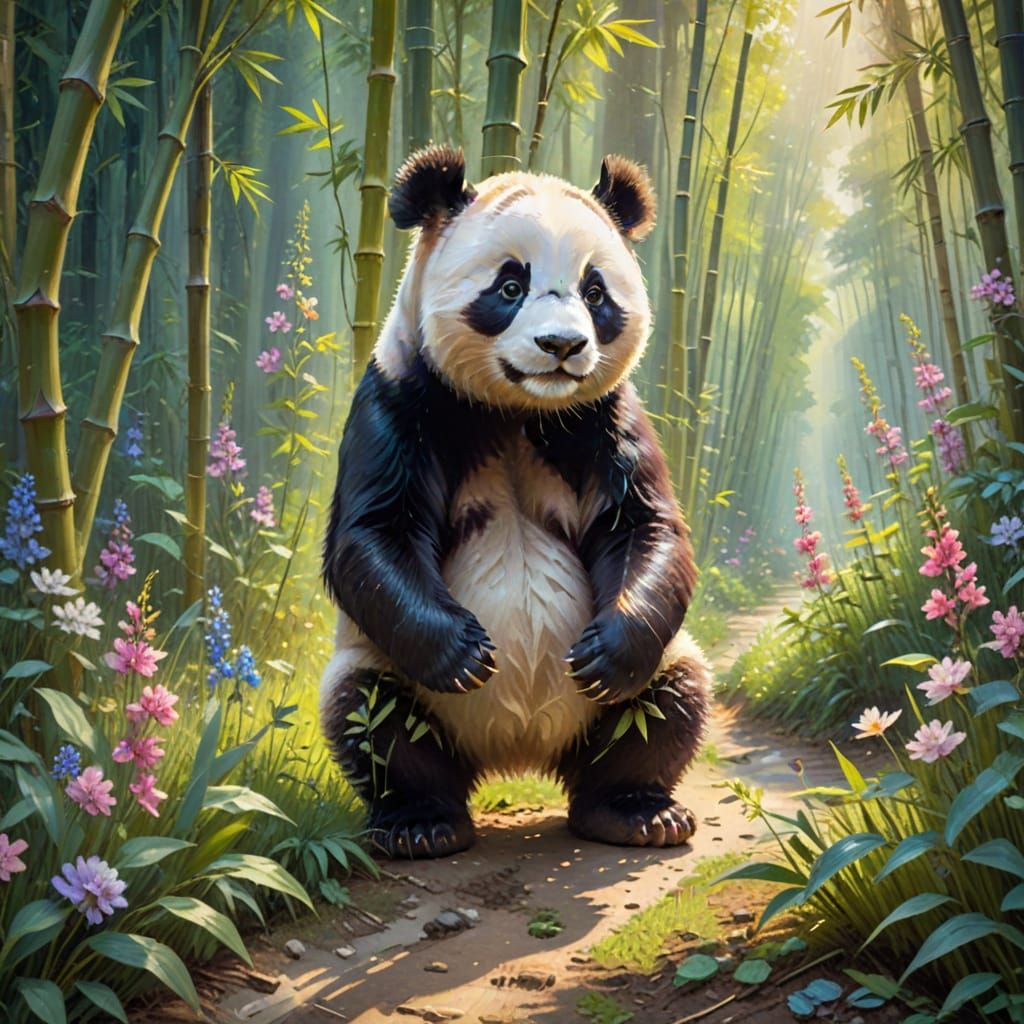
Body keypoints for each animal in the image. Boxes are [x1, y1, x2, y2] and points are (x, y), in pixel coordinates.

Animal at [321, 145, 711, 859]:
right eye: (509, 287)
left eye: (594, 291)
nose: (562, 346)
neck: (519, 409)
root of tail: (519, 751)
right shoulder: (400, 397)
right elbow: (376, 530)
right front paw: (466, 653)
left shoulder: (606, 415)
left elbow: (643, 523)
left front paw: (605, 656)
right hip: (384, 668)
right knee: (372, 715)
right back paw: (421, 823)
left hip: (647, 679)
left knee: (666, 701)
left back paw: (635, 813)